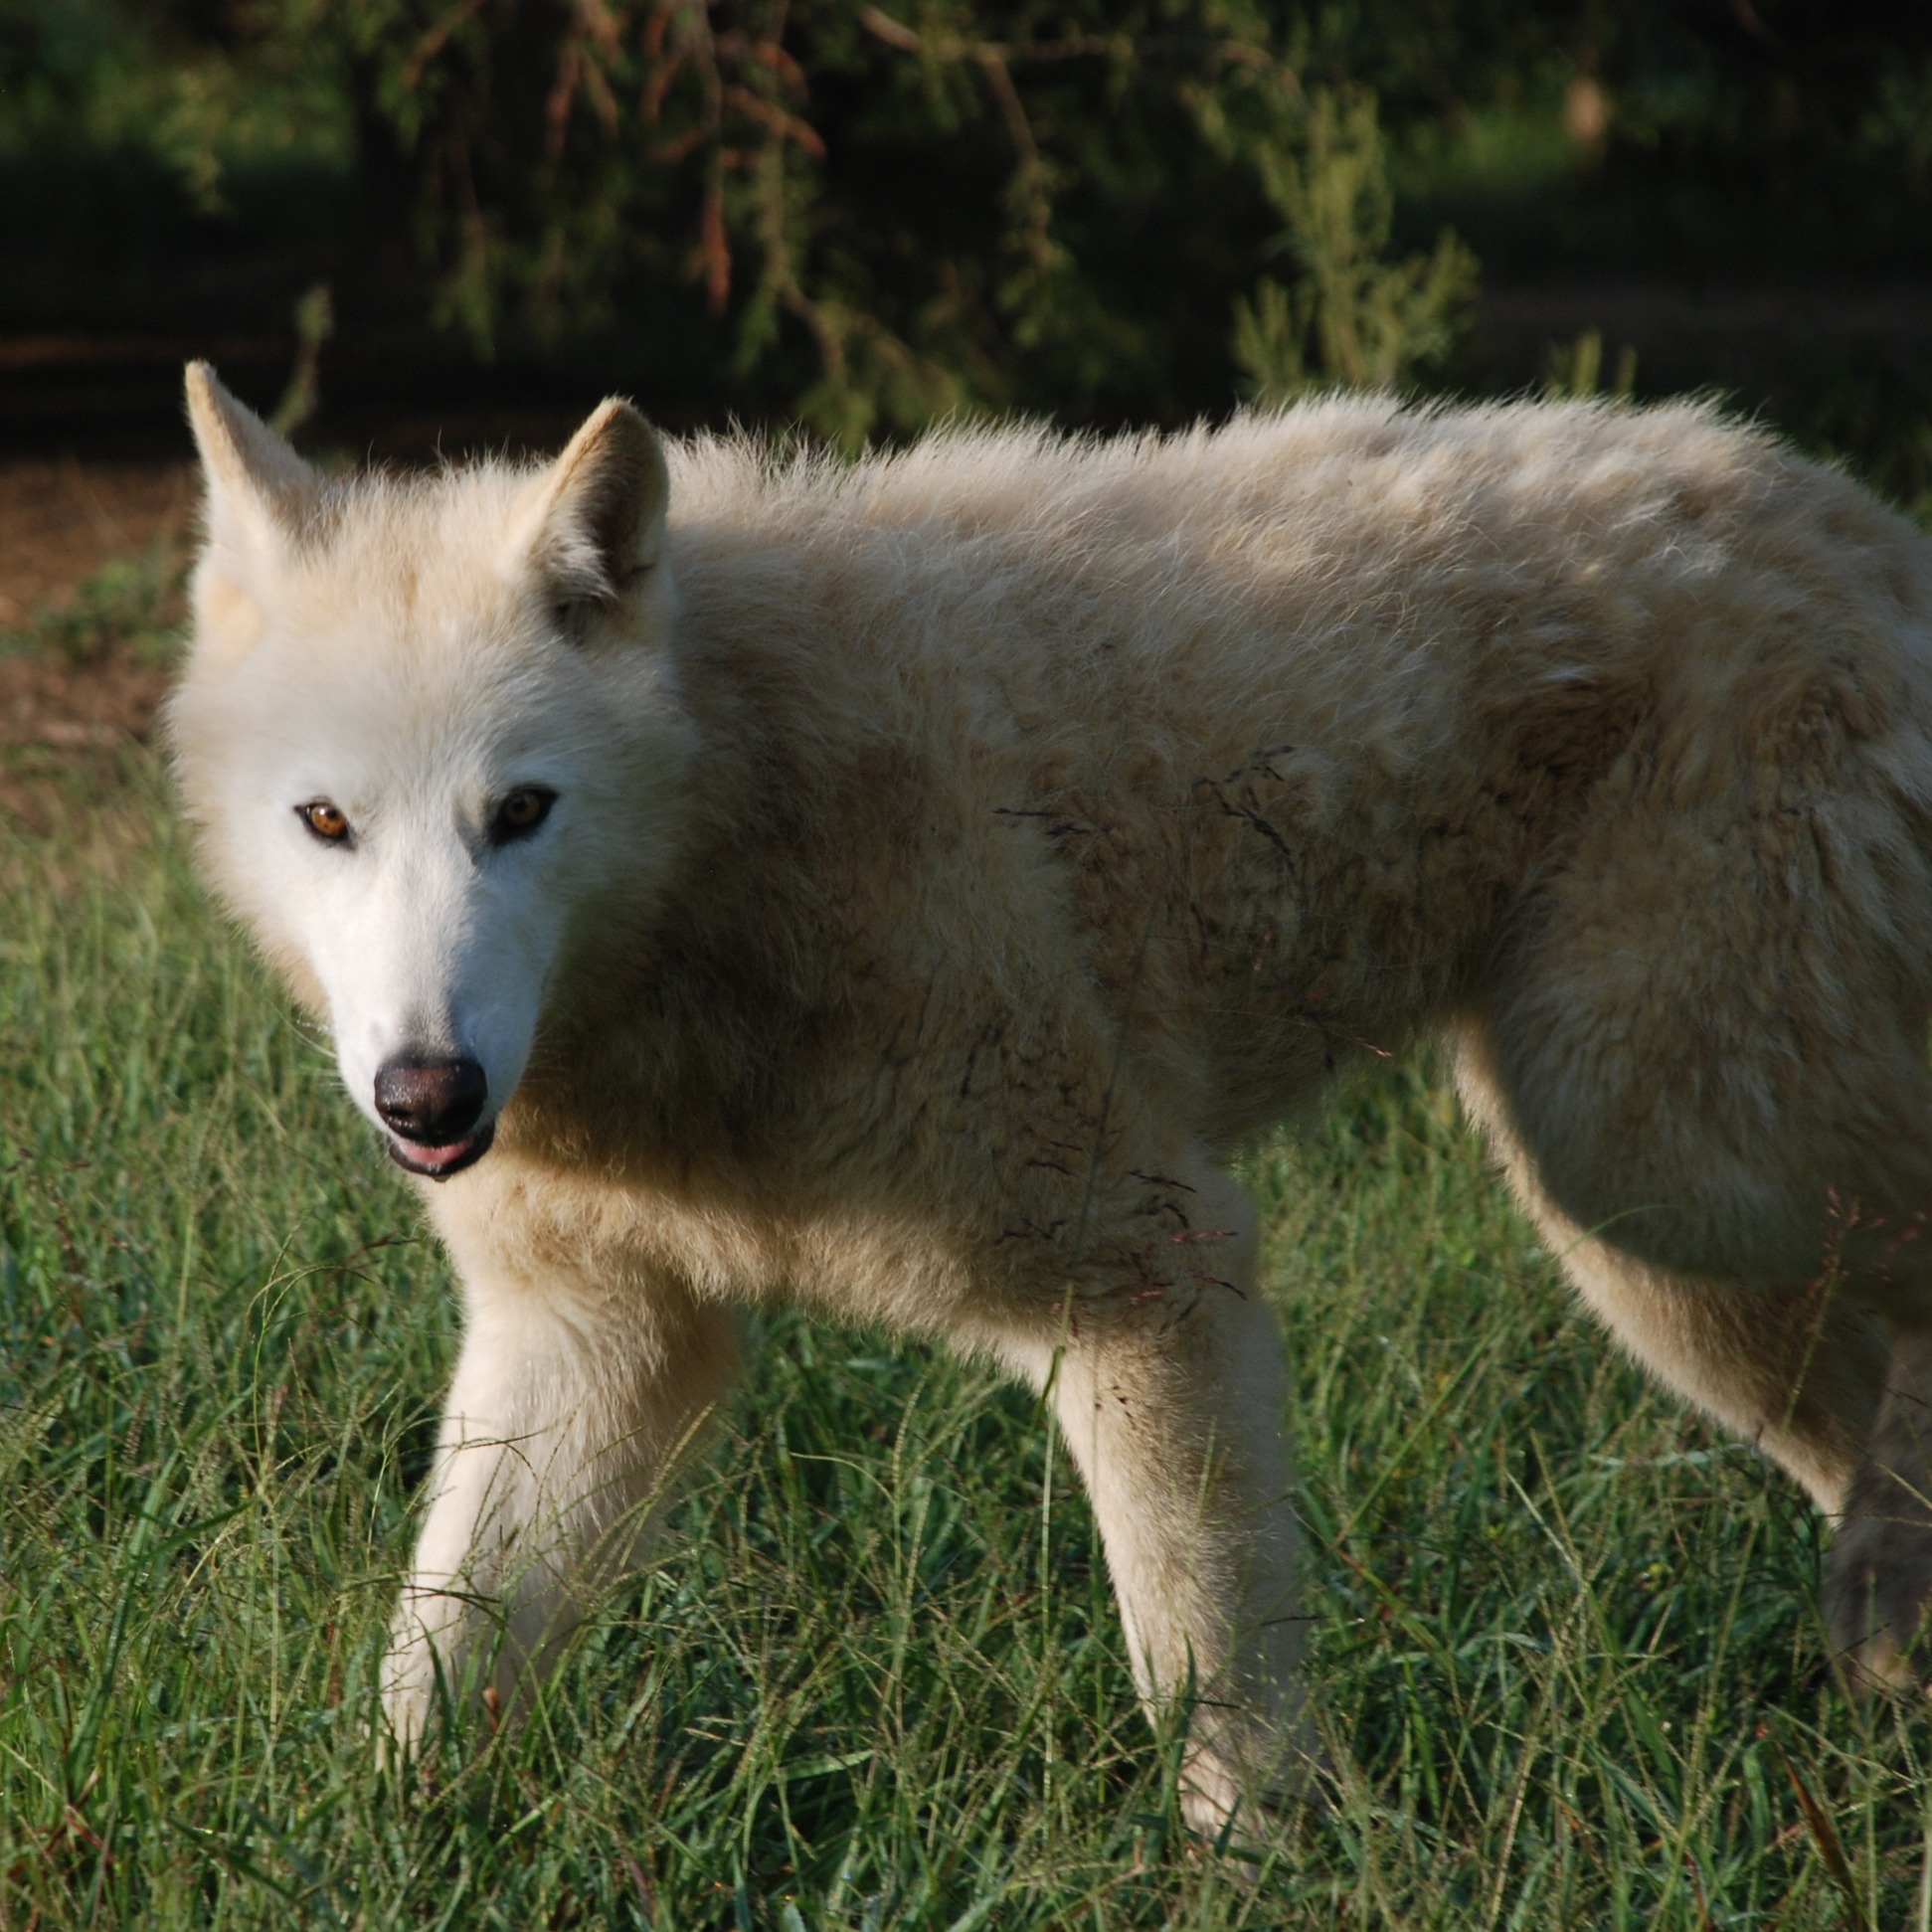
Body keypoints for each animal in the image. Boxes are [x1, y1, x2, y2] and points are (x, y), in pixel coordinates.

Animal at [169, 361, 1932, 1836]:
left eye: (521, 811)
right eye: (325, 820)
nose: (425, 1091)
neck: (739, 838)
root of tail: (1853, 515)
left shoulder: (1151, 1270)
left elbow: (1213, 1682)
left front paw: (1263, 1873)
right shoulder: (599, 1334)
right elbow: (434, 1661)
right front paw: (369, 1850)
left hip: (1651, 1161)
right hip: (1664, 1244)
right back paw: (1886, 1626)